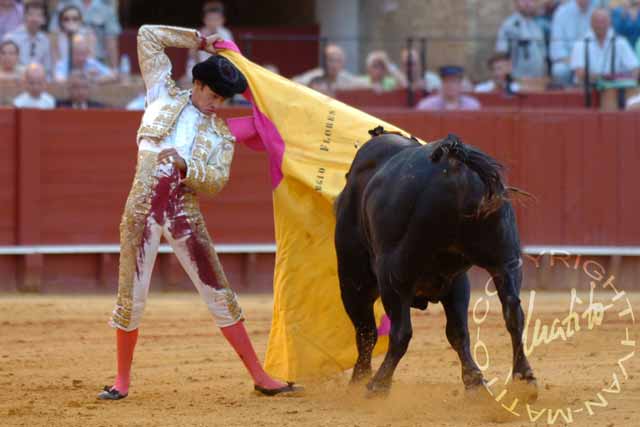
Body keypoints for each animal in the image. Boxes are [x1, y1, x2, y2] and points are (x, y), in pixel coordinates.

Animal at [336, 128, 540, 402]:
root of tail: (455, 166)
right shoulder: (457, 281)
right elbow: (458, 332)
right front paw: (474, 381)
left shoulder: (353, 279)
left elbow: (366, 331)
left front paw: (359, 379)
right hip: (505, 258)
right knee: (513, 312)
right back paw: (525, 379)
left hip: (391, 277)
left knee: (398, 332)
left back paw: (377, 385)